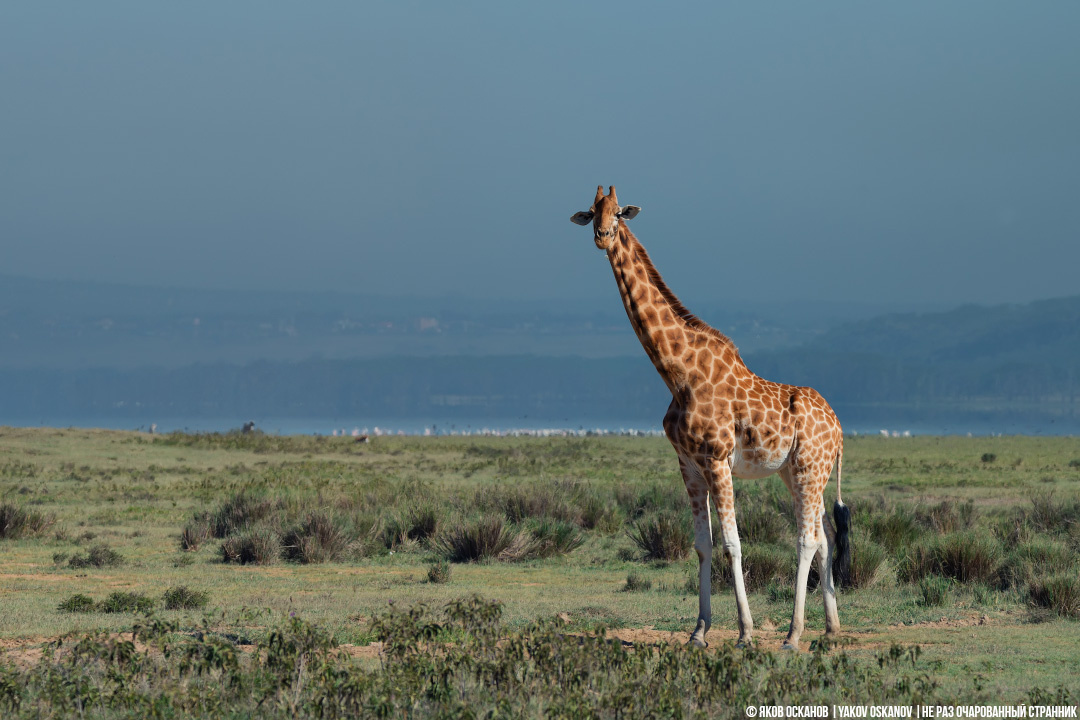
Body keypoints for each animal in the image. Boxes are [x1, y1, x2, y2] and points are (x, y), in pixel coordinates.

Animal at [571, 185, 851, 650]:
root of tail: (840, 429)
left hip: (810, 468)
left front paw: (745, 633)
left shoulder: (718, 461)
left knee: (807, 538)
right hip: (796, 471)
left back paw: (793, 635)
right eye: (592, 212)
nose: (602, 235)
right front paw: (698, 632)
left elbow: (732, 544)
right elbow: (702, 544)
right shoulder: (688, 464)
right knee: (826, 534)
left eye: (620, 212)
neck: (677, 373)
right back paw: (830, 628)